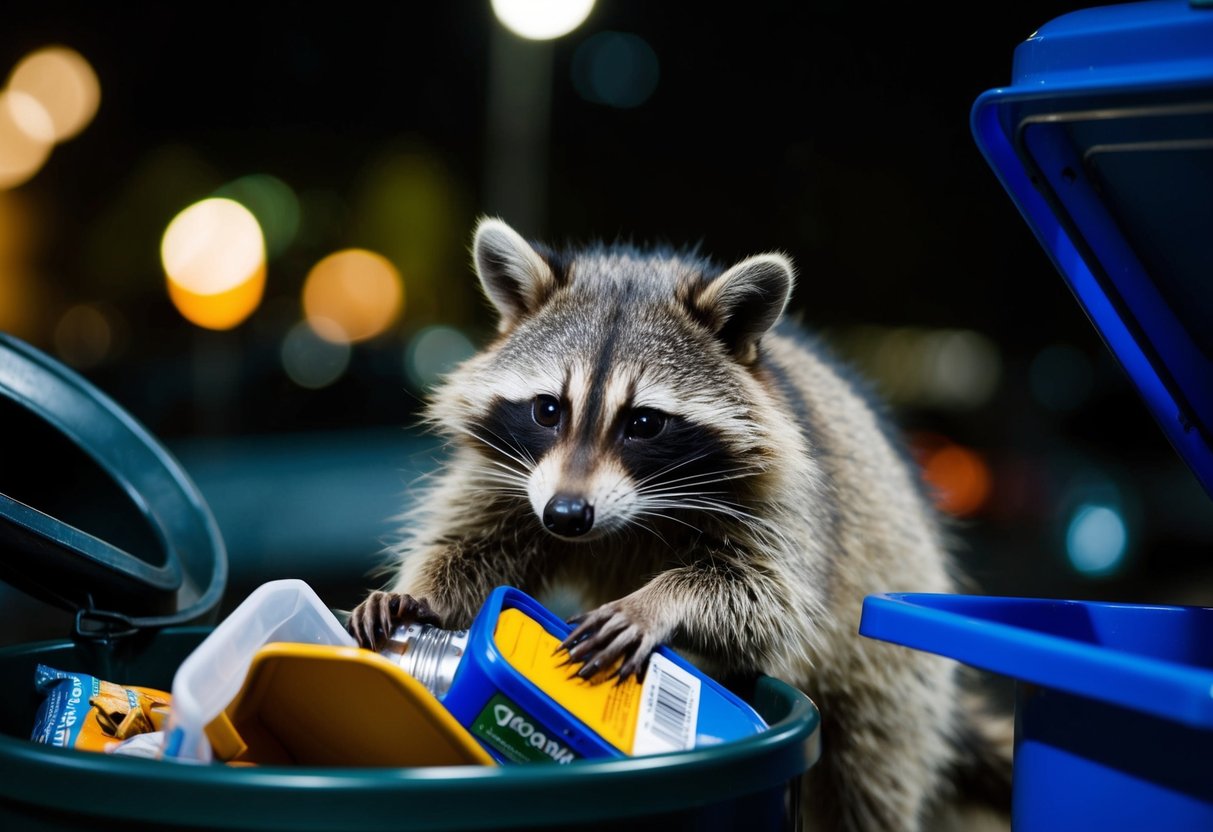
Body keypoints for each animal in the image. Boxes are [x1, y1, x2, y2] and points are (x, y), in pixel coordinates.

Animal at [348, 217, 1013, 832]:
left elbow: (771, 602)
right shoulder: (512, 478)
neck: (625, 518)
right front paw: (423, 593)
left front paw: (661, 599)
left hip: (889, 676)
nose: (567, 516)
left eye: (644, 422)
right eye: (548, 409)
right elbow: (474, 541)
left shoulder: (784, 505)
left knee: (868, 782)